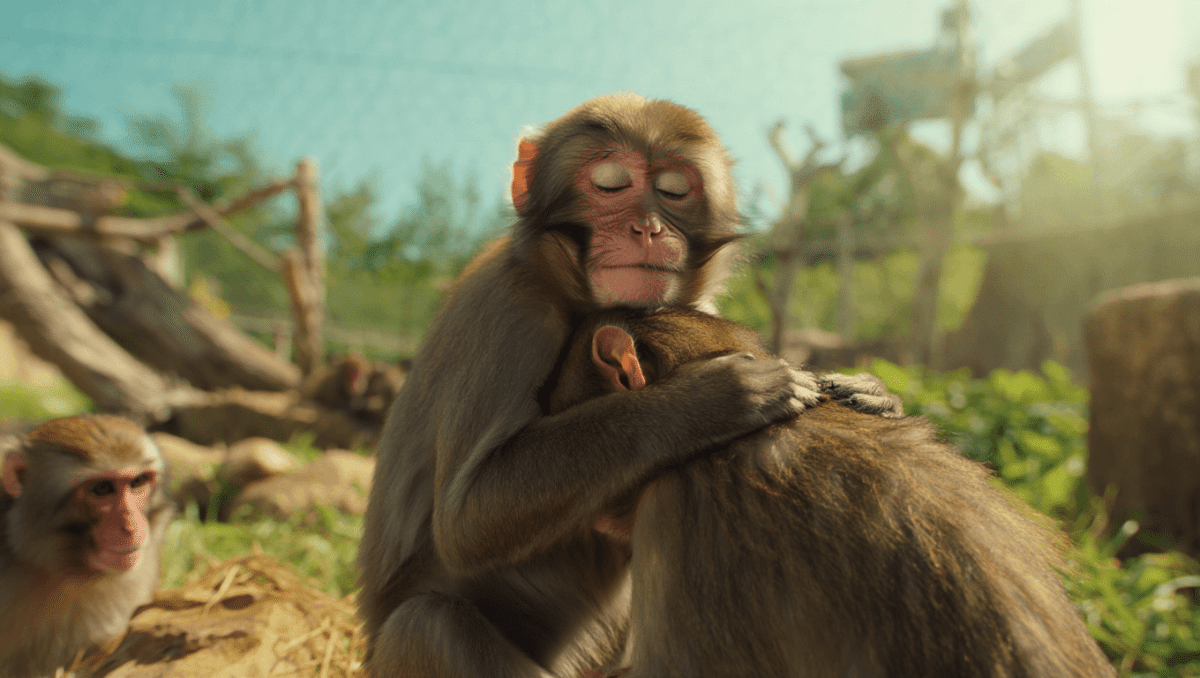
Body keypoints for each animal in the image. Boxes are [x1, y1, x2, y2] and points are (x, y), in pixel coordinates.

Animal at [357, 93, 902, 677]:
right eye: (612, 184)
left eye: (674, 190)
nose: (647, 228)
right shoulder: (507, 308)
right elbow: (469, 517)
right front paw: (710, 400)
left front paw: (874, 393)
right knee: (428, 626)